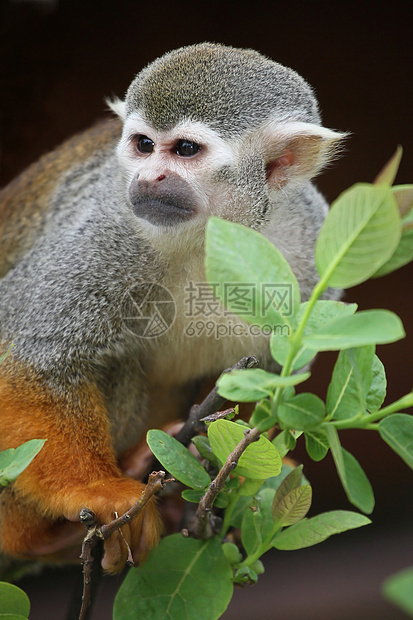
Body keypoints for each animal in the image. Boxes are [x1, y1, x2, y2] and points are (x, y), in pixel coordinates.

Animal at [0, 42, 342, 572]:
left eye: (184, 150)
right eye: (143, 145)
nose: (149, 176)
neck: (211, 237)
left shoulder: (310, 253)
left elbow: (271, 379)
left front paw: (249, 471)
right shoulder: (111, 225)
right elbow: (32, 358)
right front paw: (100, 490)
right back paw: (35, 538)